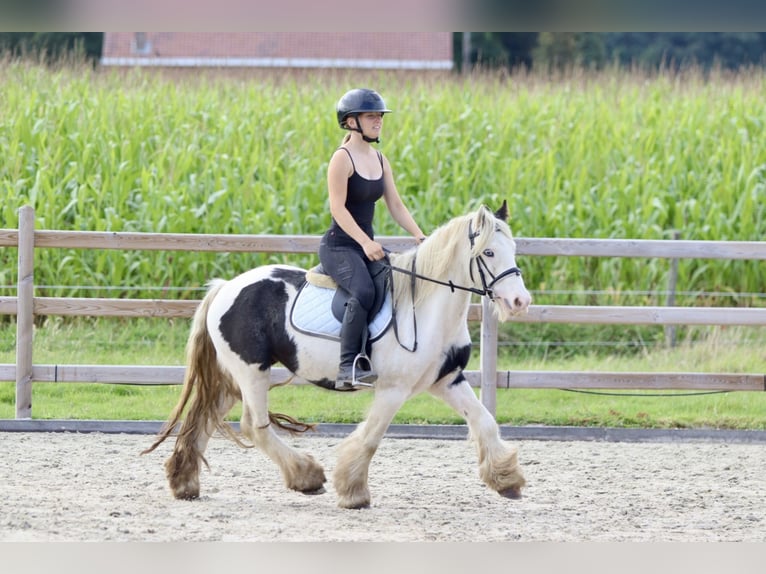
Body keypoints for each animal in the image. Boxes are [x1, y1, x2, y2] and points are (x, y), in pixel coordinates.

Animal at [147, 201, 536, 508]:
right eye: (488, 253)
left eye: (513, 248)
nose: (520, 301)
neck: (425, 308)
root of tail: (225, 287)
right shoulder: (393, 389)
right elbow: (371, 437)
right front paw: (353, 492)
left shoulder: (447, 380)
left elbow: (484, 421)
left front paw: (506, 480)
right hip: (251, 372)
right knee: (252, 426)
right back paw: (306, 476)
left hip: (232, 378)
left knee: (205, 419)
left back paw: (184, 483)